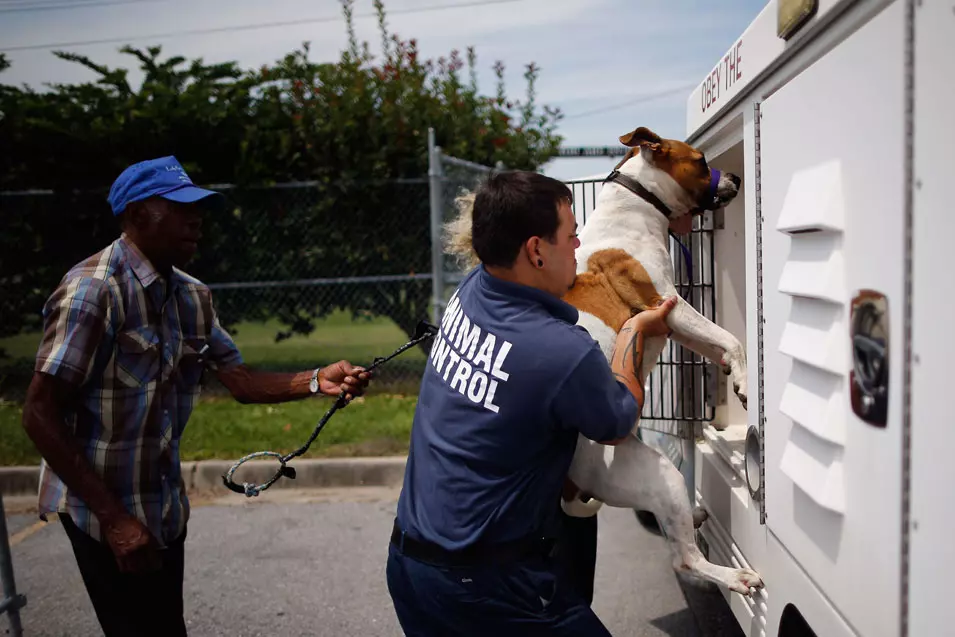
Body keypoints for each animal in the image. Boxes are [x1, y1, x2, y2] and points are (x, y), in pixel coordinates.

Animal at [444, 126, 764, 592]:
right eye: (702, 161)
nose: (738, 178)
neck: (637, 204)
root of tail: (569, 481)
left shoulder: (673, 324)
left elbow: (719, 343)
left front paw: (737, 378)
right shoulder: (669, 307)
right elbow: (731, 338)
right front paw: (743, 380)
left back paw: (695, 515)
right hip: (657, 473)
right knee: (684, 559)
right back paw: (732, 575)